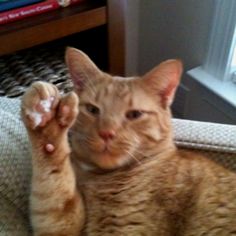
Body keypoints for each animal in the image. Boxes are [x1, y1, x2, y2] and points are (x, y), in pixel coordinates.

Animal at [21, 47, 236, 235]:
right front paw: (45, 119)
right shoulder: (61, 224)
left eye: (134, 114)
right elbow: (52, 184)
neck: (100, 179)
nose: (106, 133)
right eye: (92, 110)